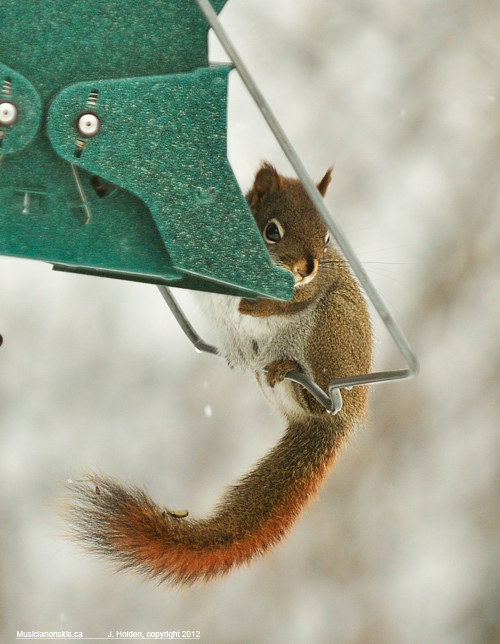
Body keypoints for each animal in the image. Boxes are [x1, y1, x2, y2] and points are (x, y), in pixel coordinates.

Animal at [63, 162, 373, 588]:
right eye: (271, 231)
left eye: (328, 239)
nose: (306, 268)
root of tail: (340, 421)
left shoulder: (313, 287)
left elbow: (291, 298)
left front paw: (258, 301)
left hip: (331, 333)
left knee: (324, 396)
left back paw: (295, 372)